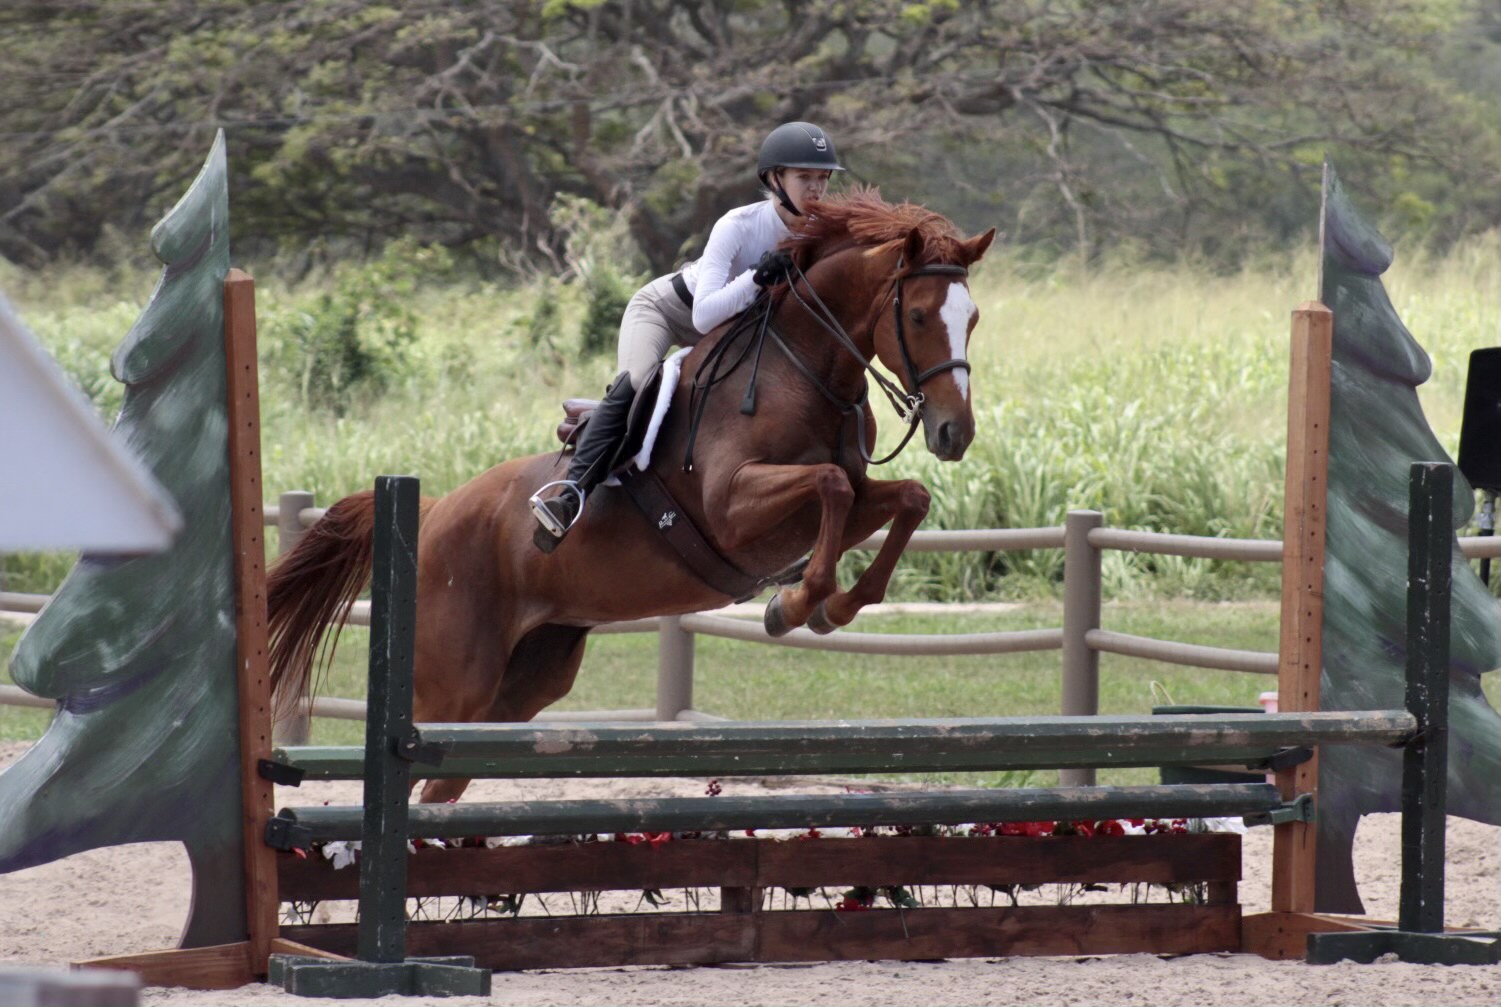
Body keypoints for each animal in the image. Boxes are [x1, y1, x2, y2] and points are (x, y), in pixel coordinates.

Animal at [267, 188, 995, 804]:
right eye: (919, 315)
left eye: (973, 319)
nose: (953, 433)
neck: (802, 367)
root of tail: (432, 511)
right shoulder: (732, 508)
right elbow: (831, 484)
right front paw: (791, 605)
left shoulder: (846, 498)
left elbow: (904, 497)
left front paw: (832, 606)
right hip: (456, 682)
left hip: (524, 682)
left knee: (443, 783)